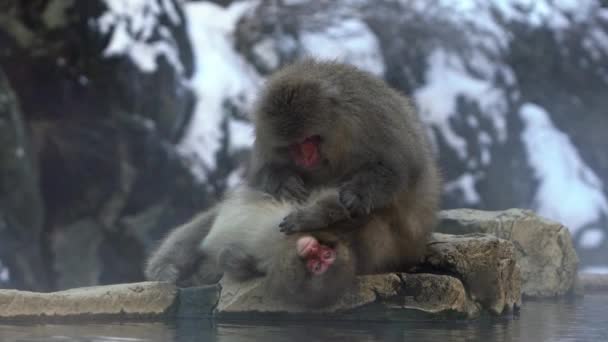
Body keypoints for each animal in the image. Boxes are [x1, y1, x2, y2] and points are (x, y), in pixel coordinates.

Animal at [147, 58, 442, 304]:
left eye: (309, 140)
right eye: (293, 146)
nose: (306, 157)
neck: (339, 129)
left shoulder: (372, 119)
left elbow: (399, 170)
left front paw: (349, 198)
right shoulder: (267, 138)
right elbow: (264, 173)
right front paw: (285, 182)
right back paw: (167, 268)